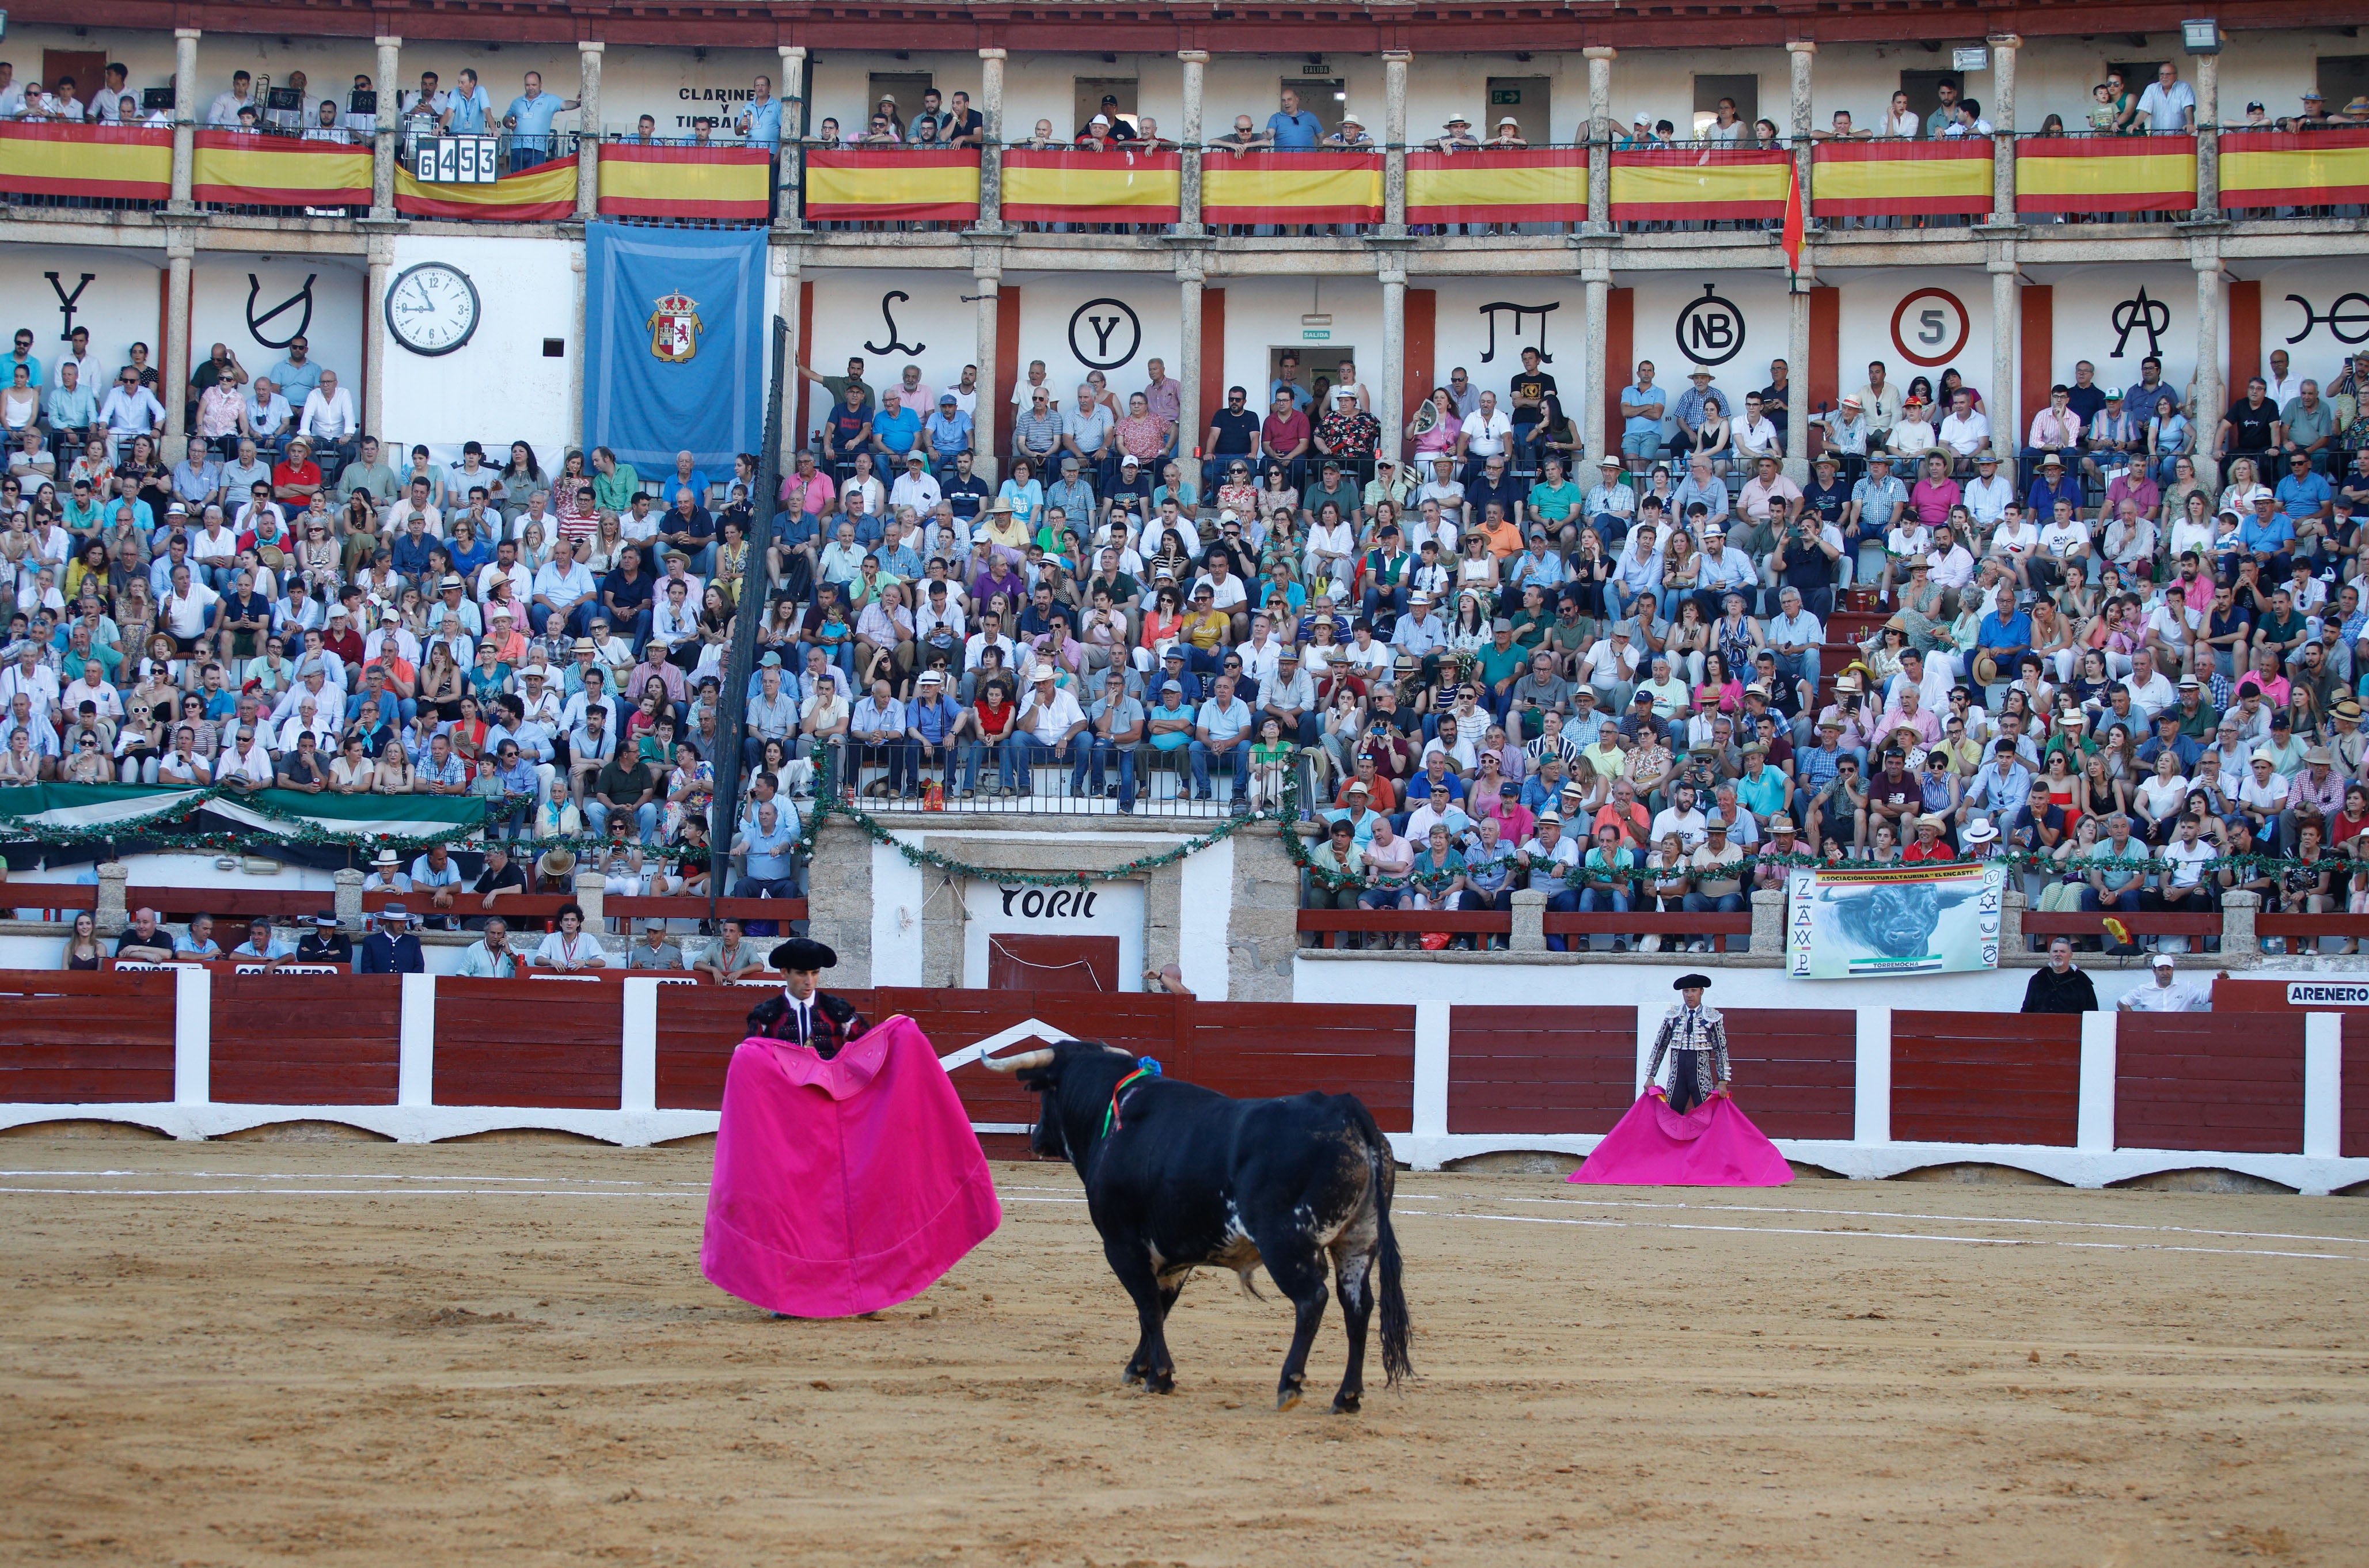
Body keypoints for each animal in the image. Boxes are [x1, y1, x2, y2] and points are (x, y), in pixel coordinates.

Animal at [981, 1042, 1402, 1411]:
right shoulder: (1174, 1255)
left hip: (1286, 1242)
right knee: (1358, 1306)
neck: (1114, 1117)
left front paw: (1160, 1376)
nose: (1036, 1138)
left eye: (1045, 1096)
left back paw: (1290, 1384)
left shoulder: (1121, 1244)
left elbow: (1148, 1308)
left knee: (1312, 1299)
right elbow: (1159, 1307)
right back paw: (1347, 1397)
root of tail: (1345, 1109)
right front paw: (1140, 1367)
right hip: (1358, 1241)